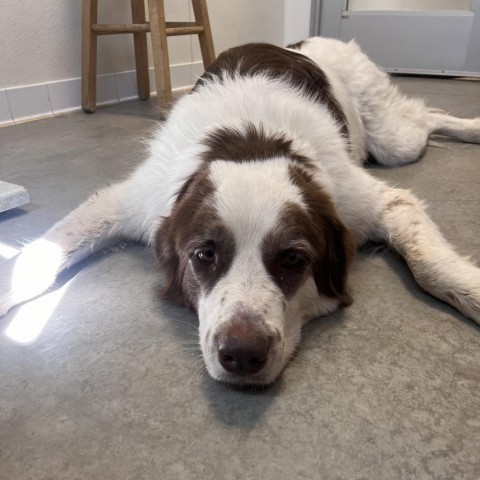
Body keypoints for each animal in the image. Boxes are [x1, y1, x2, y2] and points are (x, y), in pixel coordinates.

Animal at [0, 38, 480, 386]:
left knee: (427, 117)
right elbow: (36, 259)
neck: (251, 143)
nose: (242, 354)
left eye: (293, 259)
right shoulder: (131, 202)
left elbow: (430, 265)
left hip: (394, 142)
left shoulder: (364, 201)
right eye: (204, 255)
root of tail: (308, 41)